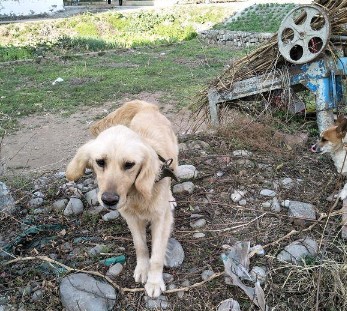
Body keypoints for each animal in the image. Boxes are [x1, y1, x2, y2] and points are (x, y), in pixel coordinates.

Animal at [66, 101, 179, 298]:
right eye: (100, 162)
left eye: (129, 165)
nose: (109, 200)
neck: (136, 194)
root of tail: (147, 106)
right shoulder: (131, 217)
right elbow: (140, 245)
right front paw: (142, 269)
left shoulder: (161, 219)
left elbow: (157, 254)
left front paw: (154, 281)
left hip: (175, 162)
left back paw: (171, 199)